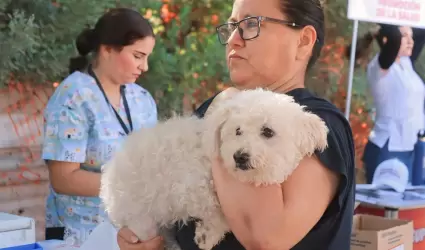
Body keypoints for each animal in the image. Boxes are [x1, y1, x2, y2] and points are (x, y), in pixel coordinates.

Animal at [100, 87, 328, 248]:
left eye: (268, 132)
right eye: (237, 131)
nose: (239, 156)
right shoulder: (188, 187)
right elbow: (216, 210)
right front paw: (207, 235)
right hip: (141, 222)